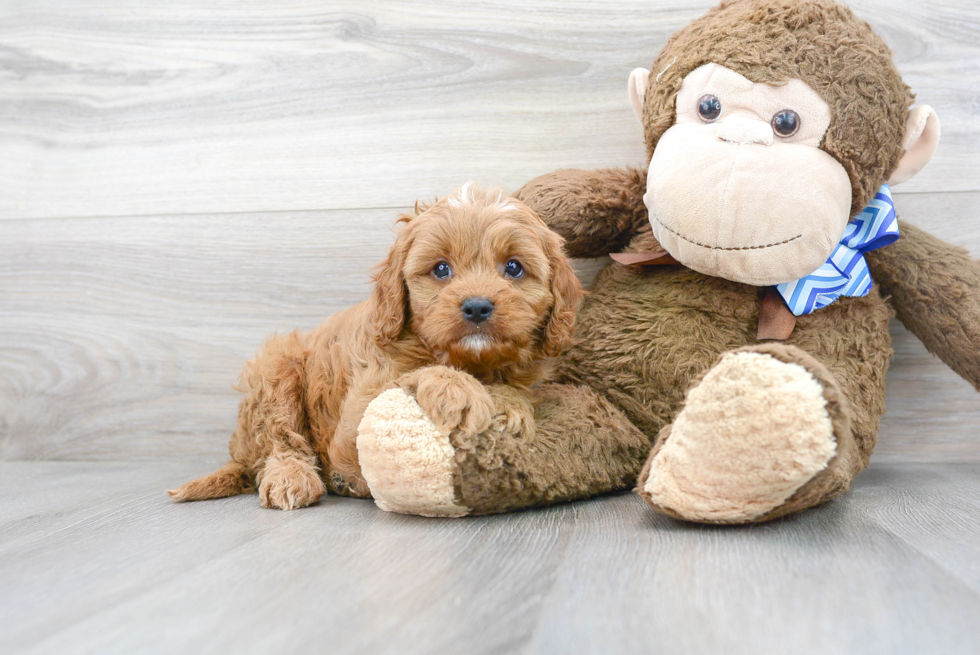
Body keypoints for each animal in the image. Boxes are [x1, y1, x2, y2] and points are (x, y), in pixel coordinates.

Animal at [168, 184, 580, 512]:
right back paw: (293, 477)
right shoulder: (357, 413)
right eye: (441, 269)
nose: (477, 306)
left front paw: (510, 403)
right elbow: (414, 375)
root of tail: (239, 452)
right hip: (276, 368)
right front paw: (458, 389)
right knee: (280, 439)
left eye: (513, 267)